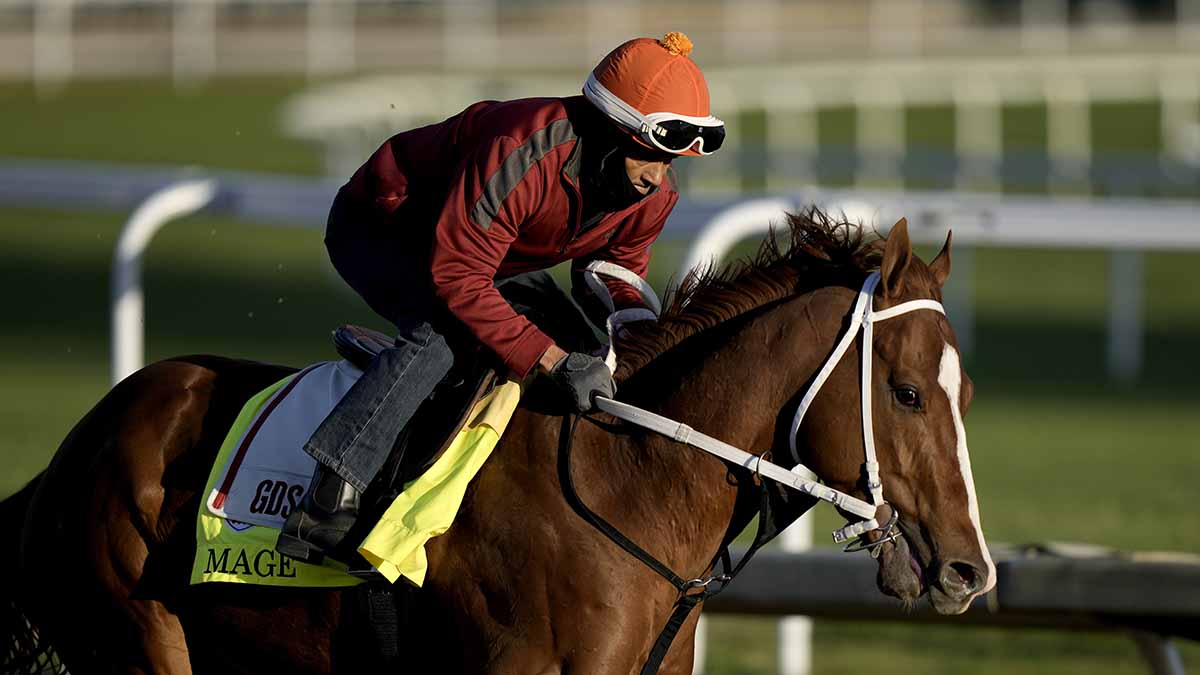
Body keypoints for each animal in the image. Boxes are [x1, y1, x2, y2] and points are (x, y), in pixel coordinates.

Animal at [2, 207, 993, 667]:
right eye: (908, 393)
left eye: (968, 393)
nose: (969, 569)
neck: (628, 476)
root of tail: (70, 452)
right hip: (136, 636)